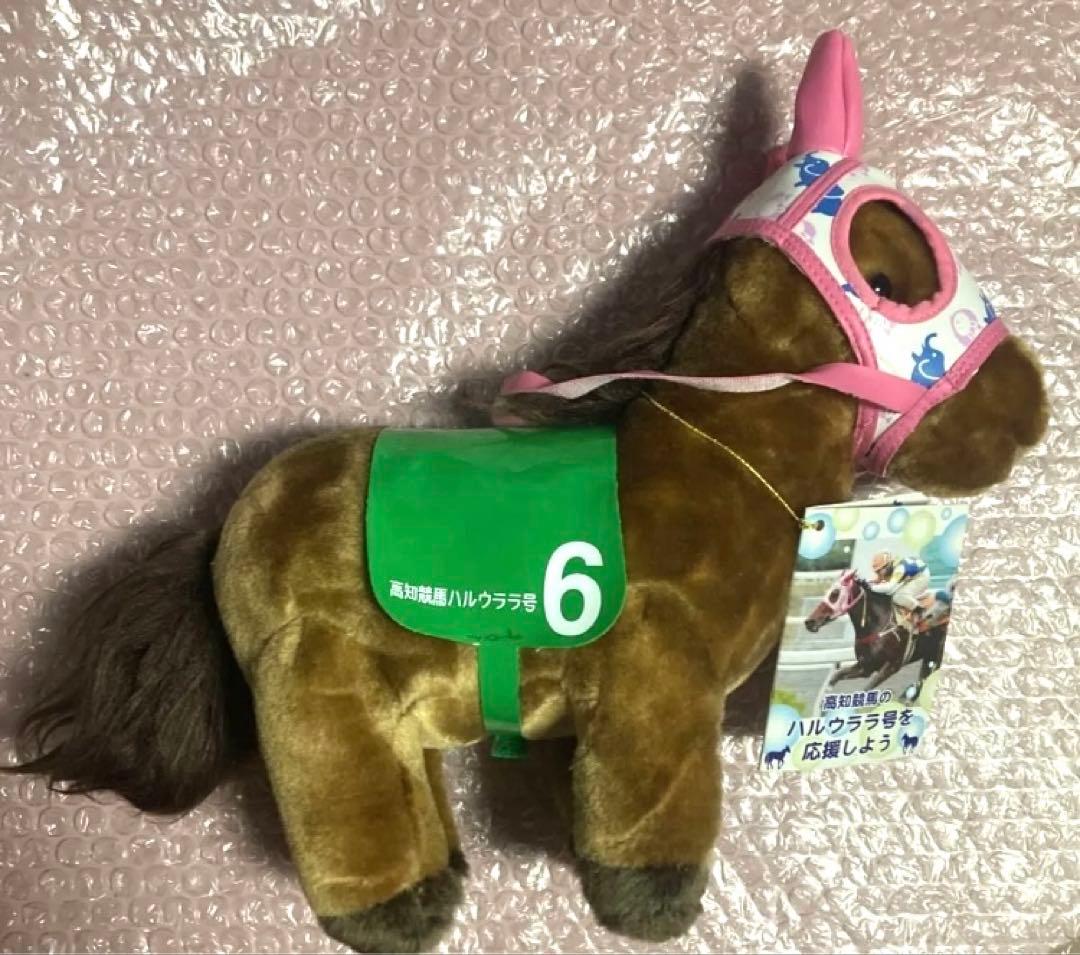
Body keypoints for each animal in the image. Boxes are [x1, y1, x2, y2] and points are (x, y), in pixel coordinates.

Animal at [804, 570, 948, 694]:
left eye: (835, 594)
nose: (809, 622)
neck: (877, 624)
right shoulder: (866, 666)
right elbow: (836, 675)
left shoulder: (892, 666)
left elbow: (866, 689)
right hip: (930, 654)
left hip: (938, 653)